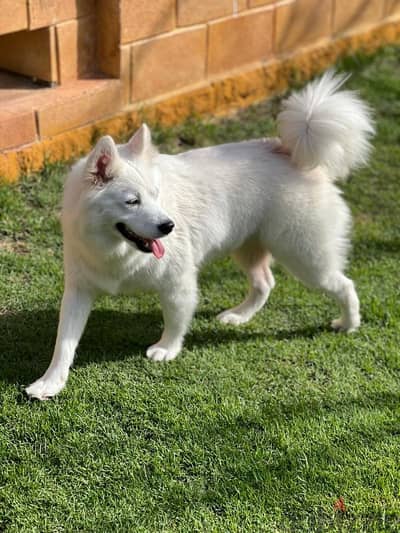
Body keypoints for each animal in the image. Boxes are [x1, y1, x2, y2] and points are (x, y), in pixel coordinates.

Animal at [26, 74, 374, 400]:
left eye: (156, 194)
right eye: (132, 201)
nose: (169, 226)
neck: (117, 250)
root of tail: (291, 152)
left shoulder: (178, 283)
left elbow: (176, 321)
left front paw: (166, 349)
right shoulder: (79, 291)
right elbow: (64, 343)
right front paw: (49, 383)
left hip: (305, 259)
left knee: (345, 285)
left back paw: (349, 323)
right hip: (250, 250)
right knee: (265, 283)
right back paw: (238, 316)